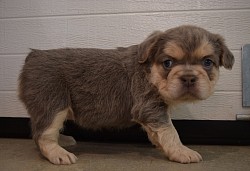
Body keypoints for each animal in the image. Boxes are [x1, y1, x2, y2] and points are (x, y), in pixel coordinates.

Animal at [18, 25, 234, 164]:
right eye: (168, 63)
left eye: (207, 62)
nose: (189, 78)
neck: (150, 72)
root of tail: (33, 55)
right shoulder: (149, 108)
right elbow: (170, 131)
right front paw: (182, 152)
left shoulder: (154, 111)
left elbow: (160, 133)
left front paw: (161, 146)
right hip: (53, 103)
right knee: (43, 134)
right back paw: (58, 153)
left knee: (40, 132)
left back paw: (62, 141)